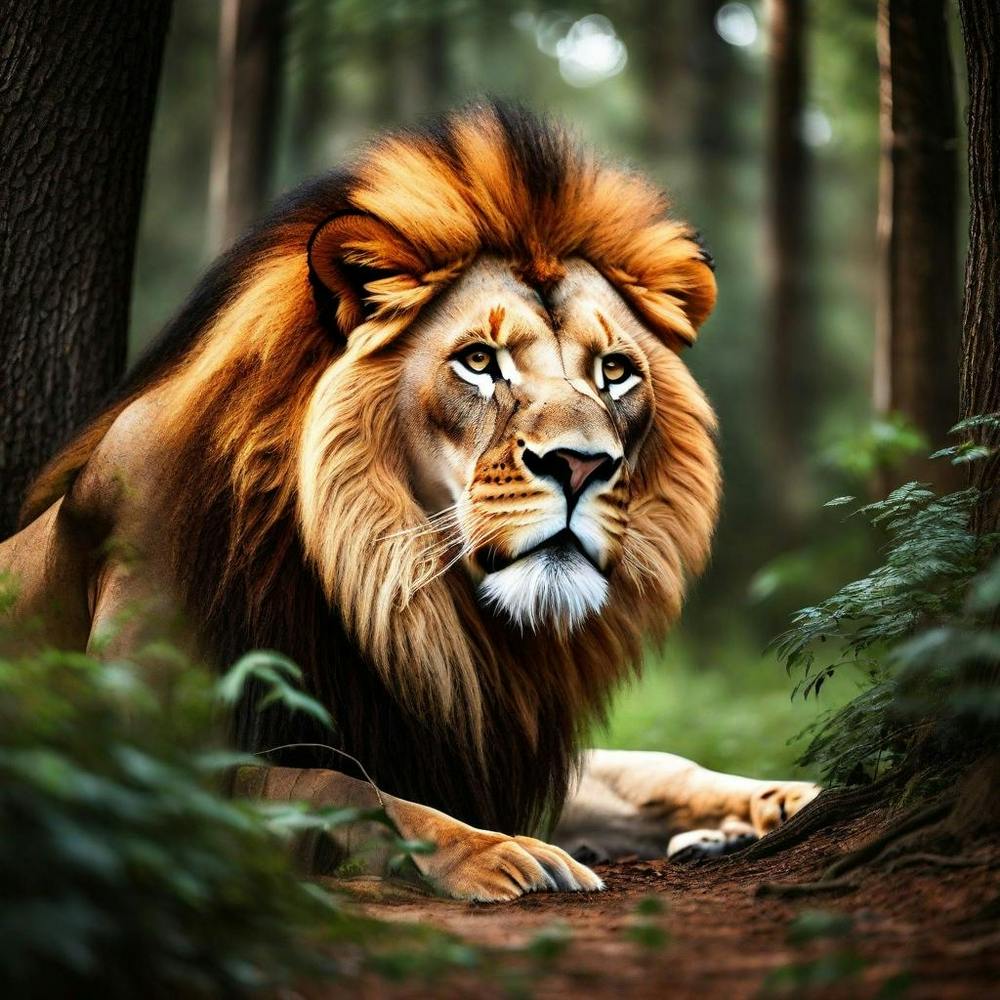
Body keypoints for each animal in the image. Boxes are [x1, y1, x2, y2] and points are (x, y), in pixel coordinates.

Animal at [0, 103, 817, 901]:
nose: (582, 464)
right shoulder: (134, 757)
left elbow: (652, 765)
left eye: (615, 371)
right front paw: (503, 854)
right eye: (479, 361)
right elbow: (343, 785)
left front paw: (786, 798)